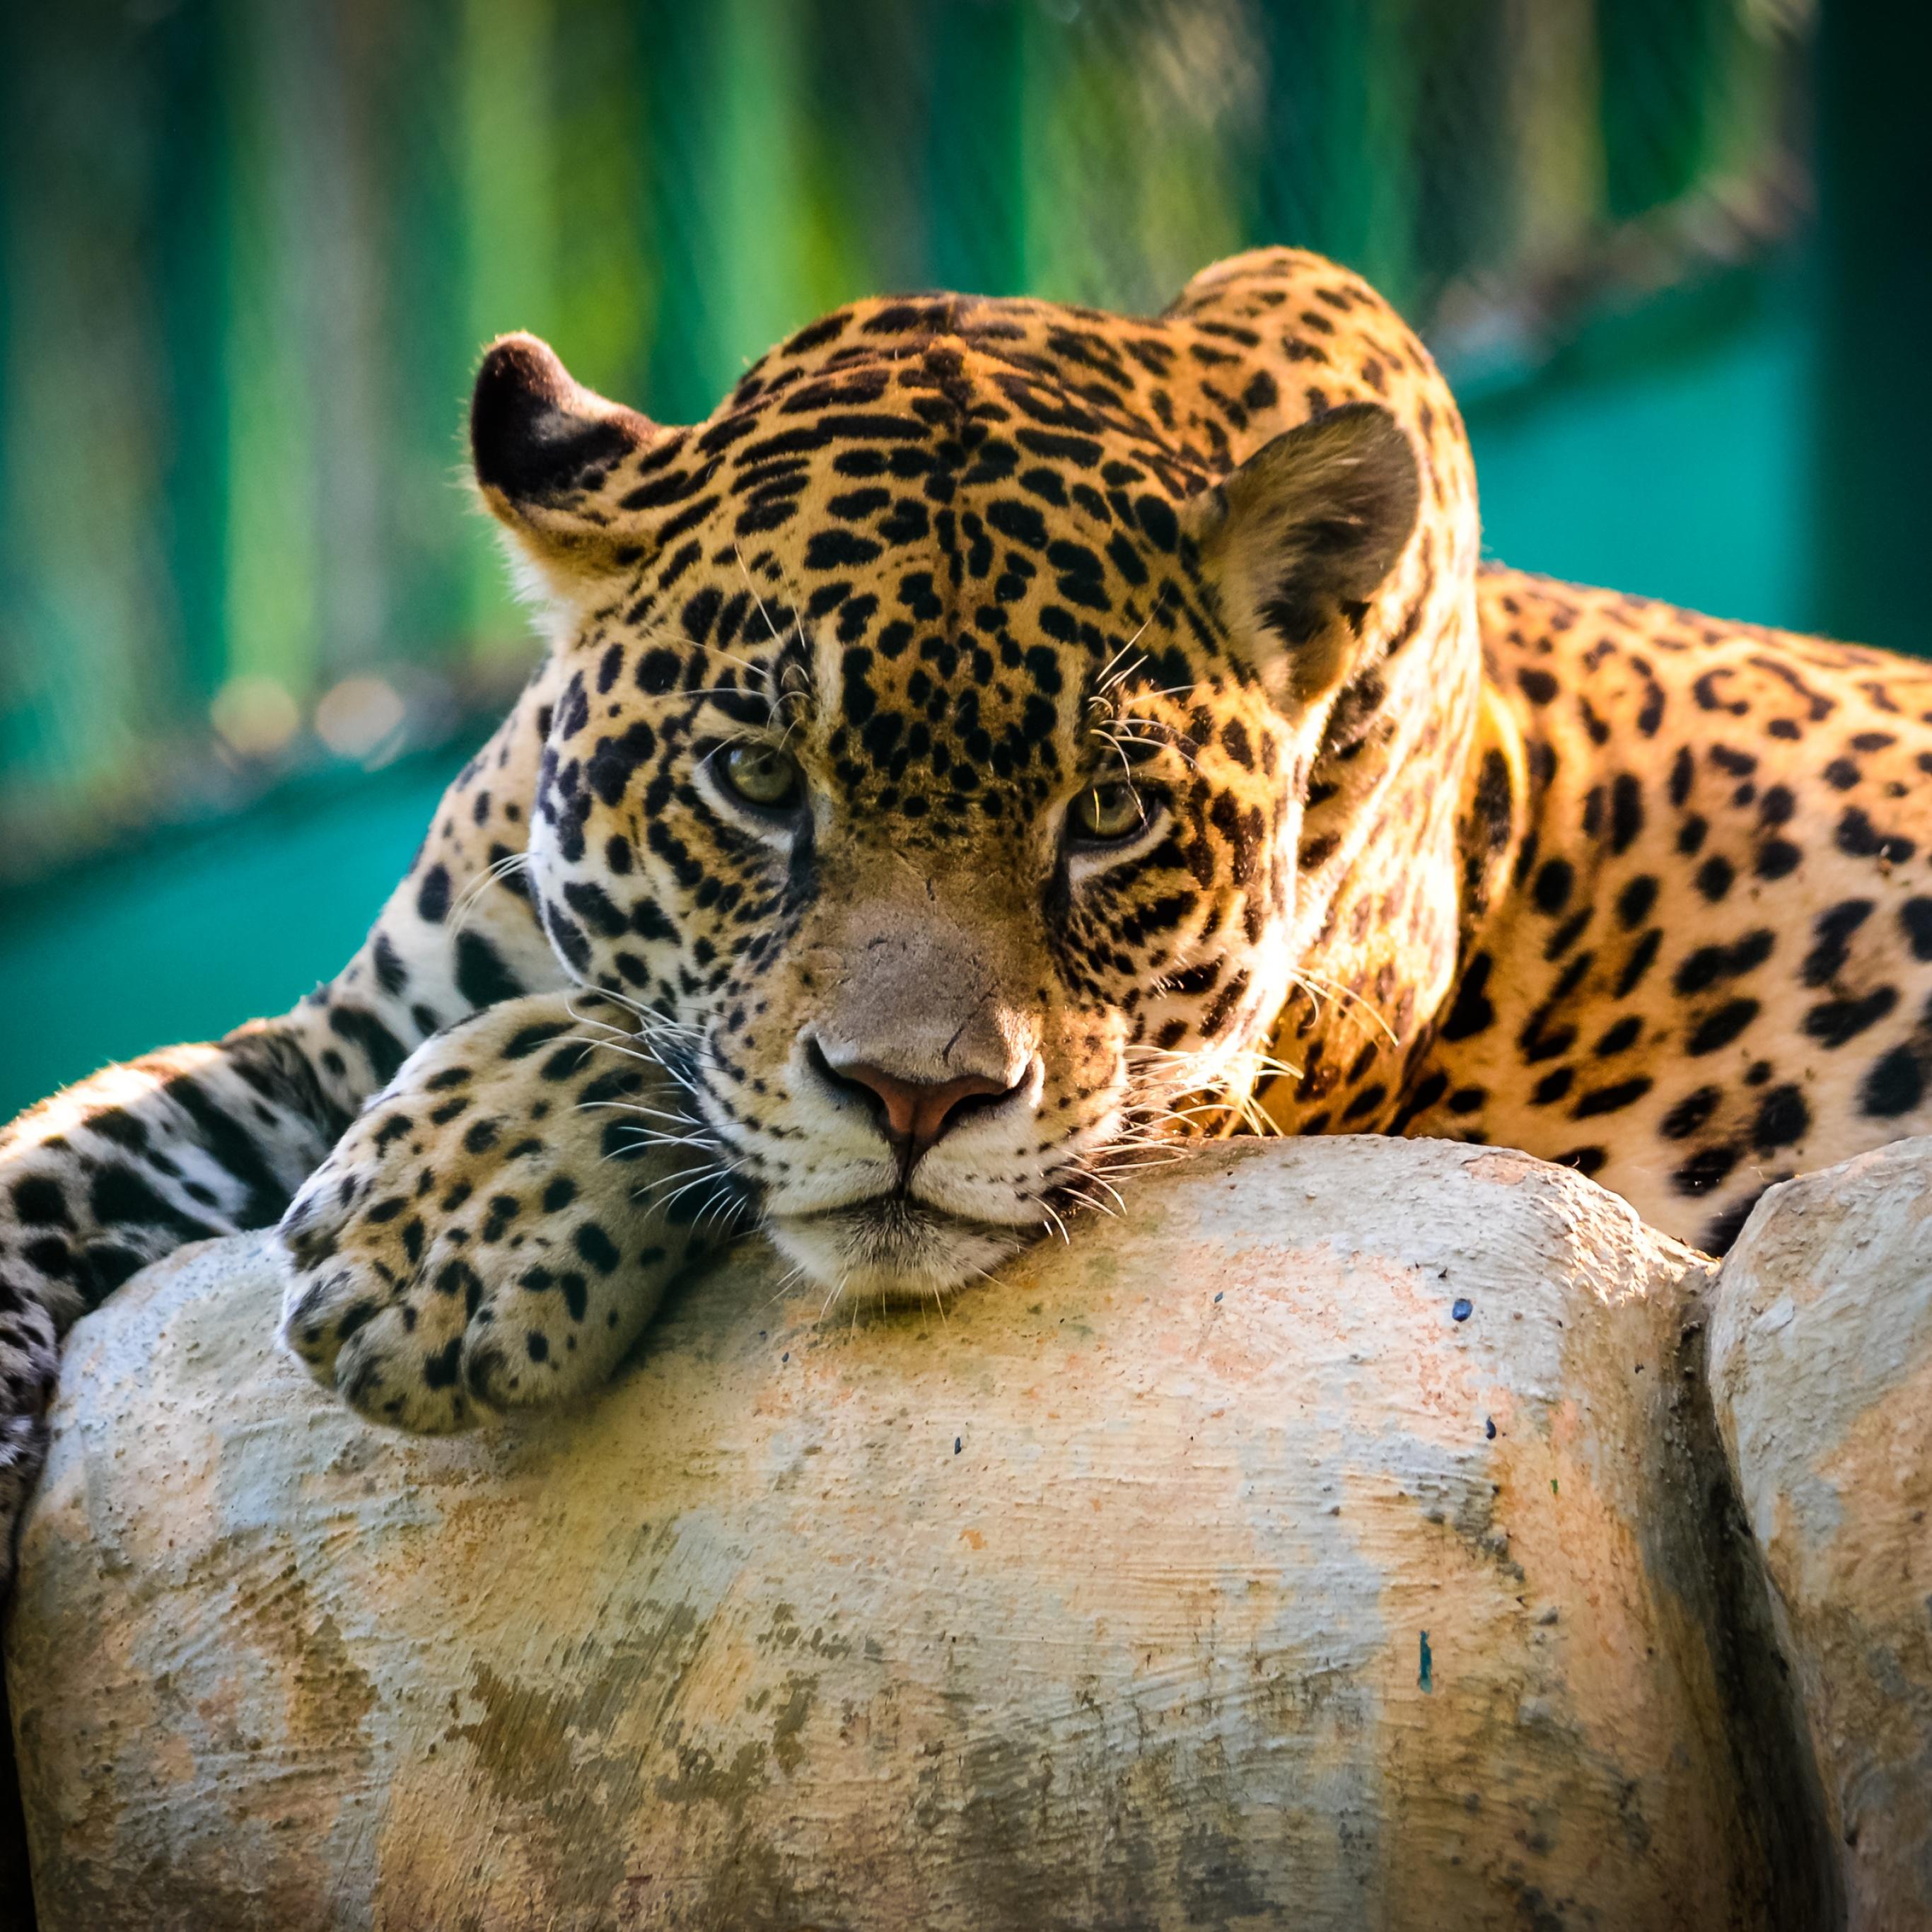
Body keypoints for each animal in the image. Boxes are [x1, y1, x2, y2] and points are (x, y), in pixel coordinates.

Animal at [2, 246, 1929, 1594]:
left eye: (1111, 817)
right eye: (754, 779)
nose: (920, 1100)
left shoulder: (1243, 1066)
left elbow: (636, 1041)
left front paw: (442, 1235)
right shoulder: (324, 1046)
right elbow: (60, 1149)